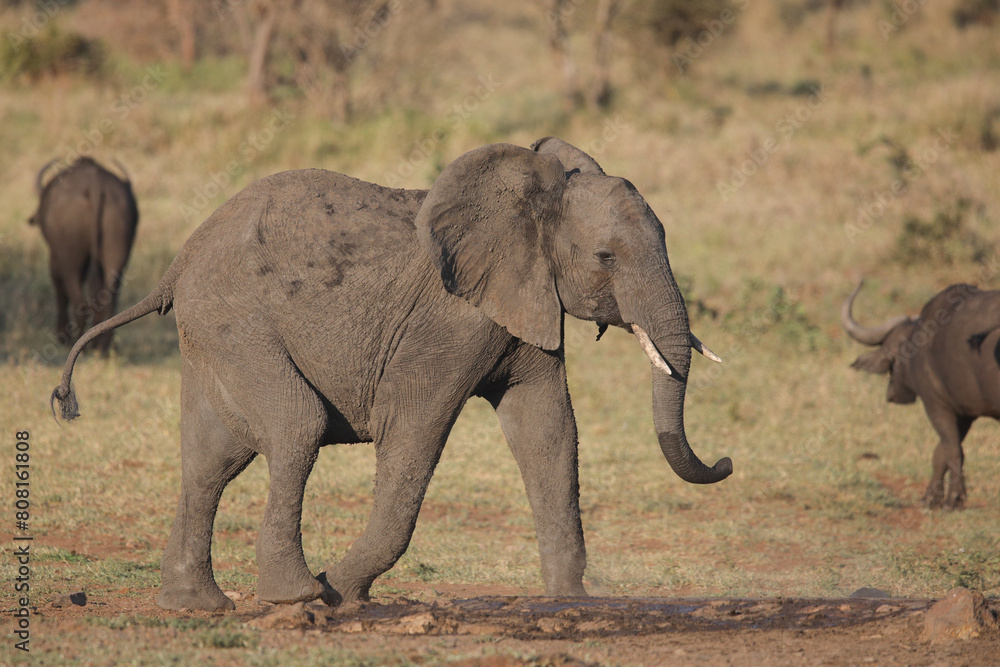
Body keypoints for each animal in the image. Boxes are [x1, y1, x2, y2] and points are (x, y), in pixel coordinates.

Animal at [30, 156, 139, 355]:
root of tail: (95, 186)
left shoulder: (55, 260)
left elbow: (60, 292)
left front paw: (61, 336)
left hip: (70, 259)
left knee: (78, 300)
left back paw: (75, 341)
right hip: (117, 253)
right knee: (109, 298)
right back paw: (104, 346)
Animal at [51, 138, 731, 612]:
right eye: (606, 257)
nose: (725, 463)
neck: (531, 200)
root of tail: (178, 262)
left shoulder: (525, 302)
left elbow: (549, 431)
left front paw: (571, 602)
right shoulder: (449, 323)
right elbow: (416, 433)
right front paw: (339, 592)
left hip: (213, 335)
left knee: (210, 458)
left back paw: (197, 606)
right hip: (237, 324)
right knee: (294, 427)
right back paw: (295, 595)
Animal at [842, 280, 1000, 509]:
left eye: (893, 360)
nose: (891, 394)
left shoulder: (936, 404)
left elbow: (953, 450)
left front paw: (954, 499)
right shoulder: (965, 413)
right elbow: (941, 452)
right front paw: (930, 497)